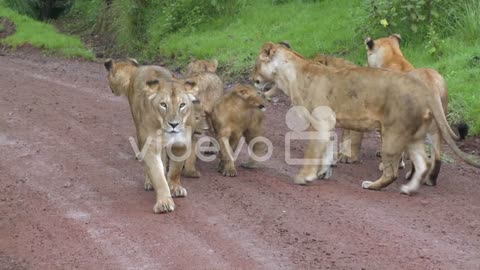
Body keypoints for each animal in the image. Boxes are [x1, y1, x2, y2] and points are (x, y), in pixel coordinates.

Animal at [105, 59, 199, 213]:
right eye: (163, 105)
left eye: (182, 105)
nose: (174, 124)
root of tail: (143, 66)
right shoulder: (151, 146)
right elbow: (158, 176)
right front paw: (164, 203)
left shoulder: (181, 144)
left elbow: (175, 170)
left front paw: (175, 187)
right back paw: (149, 182)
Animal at [253, 42, 478, 194]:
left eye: (256, 65)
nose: (253, 80)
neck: (290, 75)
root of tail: (423, 90)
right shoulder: (328, 124)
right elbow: (327, 151)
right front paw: (323, 172)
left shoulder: (320, 122)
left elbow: (313, 152)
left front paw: (305, 177)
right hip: (414, 136)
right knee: (424, 163)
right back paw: (408, 189)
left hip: (392, 134)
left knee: (393, 171)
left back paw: (373, 185)